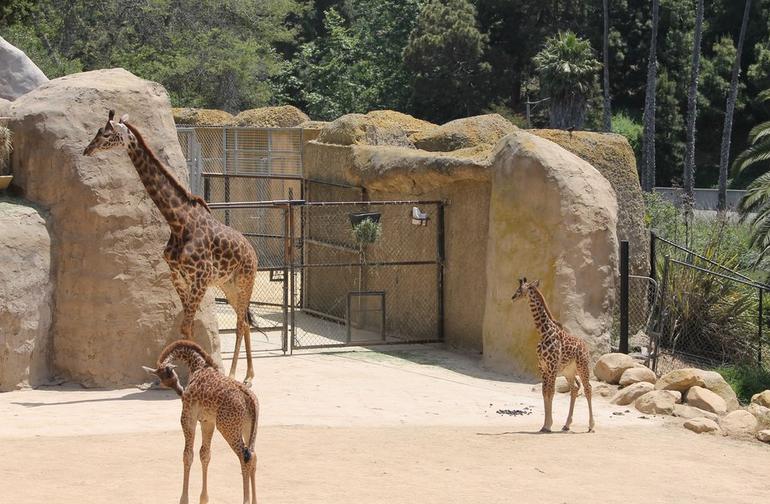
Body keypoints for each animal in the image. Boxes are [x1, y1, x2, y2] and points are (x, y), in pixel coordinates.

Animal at [83, 110, 258, 384]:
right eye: (98, 132)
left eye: (107, 134)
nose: (87, 150)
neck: (178, 222)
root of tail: (252, 250)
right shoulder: (178, 276)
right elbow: (186, 326)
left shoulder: (200, 278)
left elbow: (187, 324)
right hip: (227, 285)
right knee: (245, 322)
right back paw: (245, 374)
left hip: (244, 281)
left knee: (241, 322)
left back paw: (239, 375)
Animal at [144, 340, 260, 504]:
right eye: (165, 380)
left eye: (171, 376)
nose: (180, 392)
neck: (198, 366)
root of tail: (250, 398)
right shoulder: (207, 421)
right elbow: (205, 454)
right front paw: (203, 498)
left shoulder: (188, 417)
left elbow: (188, 455)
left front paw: (184, 499)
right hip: (248, 428)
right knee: (253, 456)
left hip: (228, 428)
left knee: (244, 458)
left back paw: (246, 500)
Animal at [510, 278, 592, 432]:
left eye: (520, 289)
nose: (513, 297)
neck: (544, 332)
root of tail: (586, 347)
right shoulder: (543, 367)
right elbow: (544, 392)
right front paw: (544, 425)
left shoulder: (552, 366)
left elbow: (551, 391)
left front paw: (548, 425)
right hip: (568, 371)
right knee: (574, 388)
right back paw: (566, 425)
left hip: (582, 366)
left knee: (588, 388)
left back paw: (591, 426)